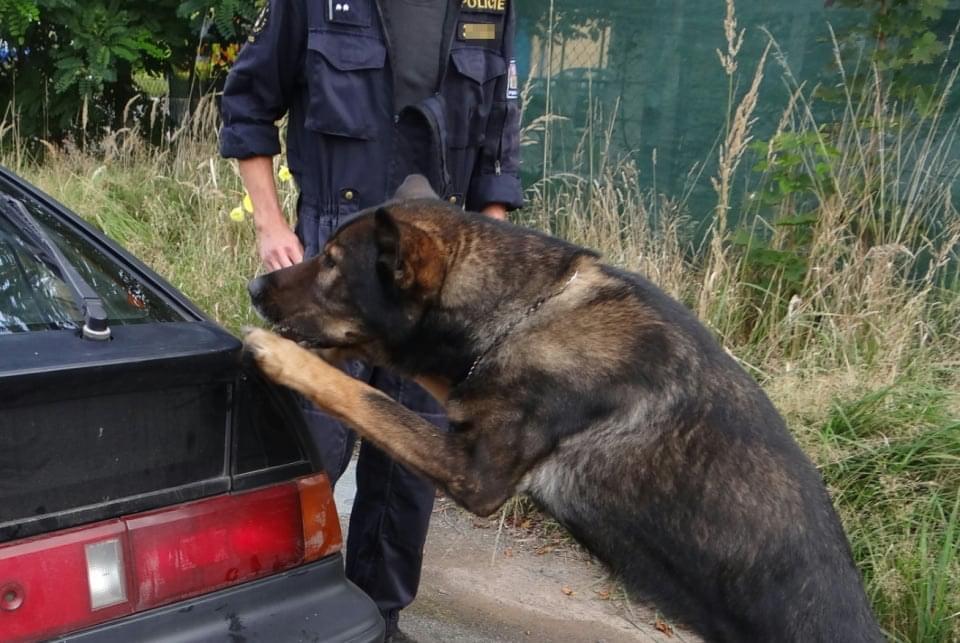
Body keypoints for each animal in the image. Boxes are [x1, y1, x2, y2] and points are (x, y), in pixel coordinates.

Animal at [244, 175, 883, 642]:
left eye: (331, 263)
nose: (252, 287)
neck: (525, 311)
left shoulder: (473, 474)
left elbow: (367, 398)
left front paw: (281, 354)